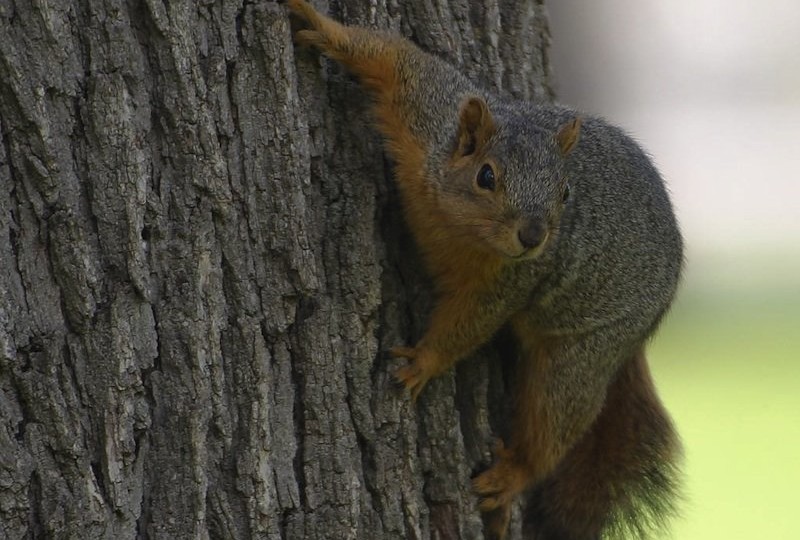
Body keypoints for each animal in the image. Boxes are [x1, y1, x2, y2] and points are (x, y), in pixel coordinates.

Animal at [287, 1, 683, 539]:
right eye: (486, 176)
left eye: (565, 192)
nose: (533, 236)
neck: (456, 225)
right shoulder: (428, 112)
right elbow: (396, 59)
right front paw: (319, 26)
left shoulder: (511, 280)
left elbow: (471, 324)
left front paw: (424, 361)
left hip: (583, 352)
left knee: (557, 422)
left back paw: (511, 478)